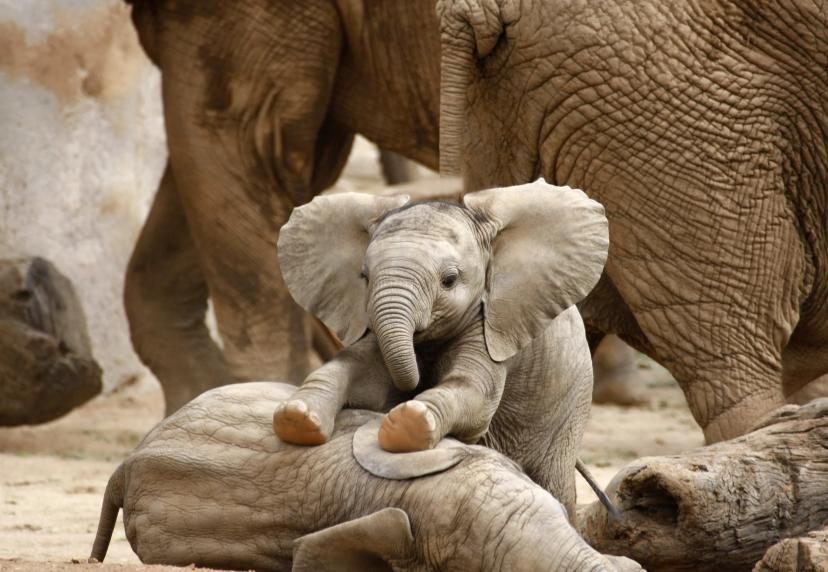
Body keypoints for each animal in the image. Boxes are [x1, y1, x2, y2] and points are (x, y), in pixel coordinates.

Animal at [271, 181, 608, 516]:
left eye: (449, 280)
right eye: (364, 278)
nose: (413, 387)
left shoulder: (490, 324)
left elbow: (474, 393)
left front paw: (407, 423)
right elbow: (358, 370)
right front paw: (296, 417)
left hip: (570, 406)